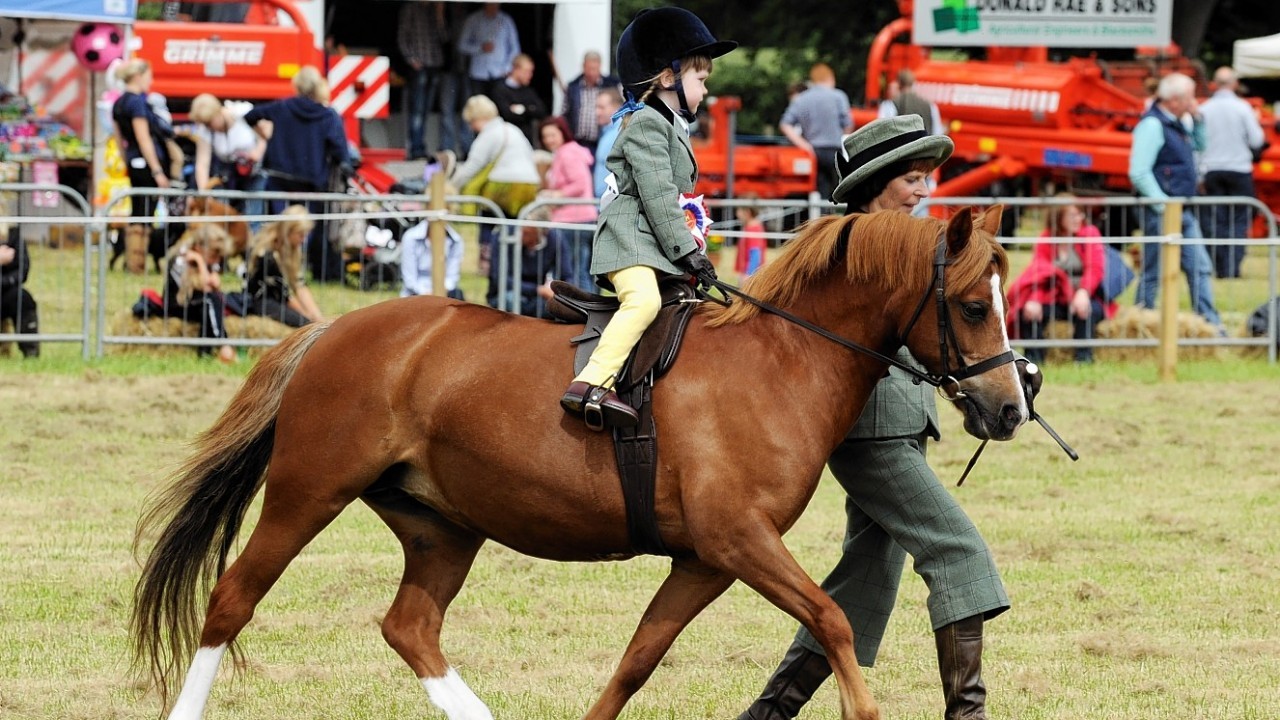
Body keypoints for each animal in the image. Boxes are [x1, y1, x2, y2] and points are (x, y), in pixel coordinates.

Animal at [132, 204, 1029, 717]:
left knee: (410, 626)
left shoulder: (707, 560)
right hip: (307, 493)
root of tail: (334, 330)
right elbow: (835, 622)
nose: (1012, 407)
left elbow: (638, 660)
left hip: (441, 526)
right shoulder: (740, 541)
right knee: (232, 601)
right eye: (972, 306)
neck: (782, 361)